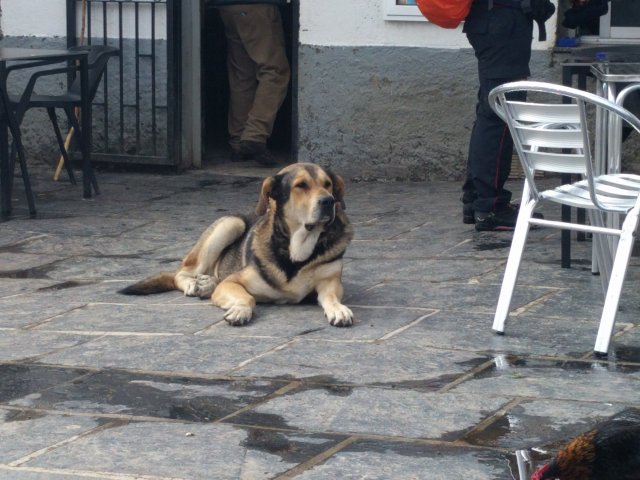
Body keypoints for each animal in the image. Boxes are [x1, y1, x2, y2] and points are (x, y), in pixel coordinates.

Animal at [119, 163, 354, 327]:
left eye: (327, 184)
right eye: (301, 185)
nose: (329, 201)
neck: (297, 250)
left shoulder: (330, 282)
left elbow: (331, 296)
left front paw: (339, 309)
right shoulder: (233, 282)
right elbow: (247, 297)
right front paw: (240, 309)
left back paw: (206, 284)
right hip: (230, 224)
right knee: (181, 274)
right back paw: (195, 285)